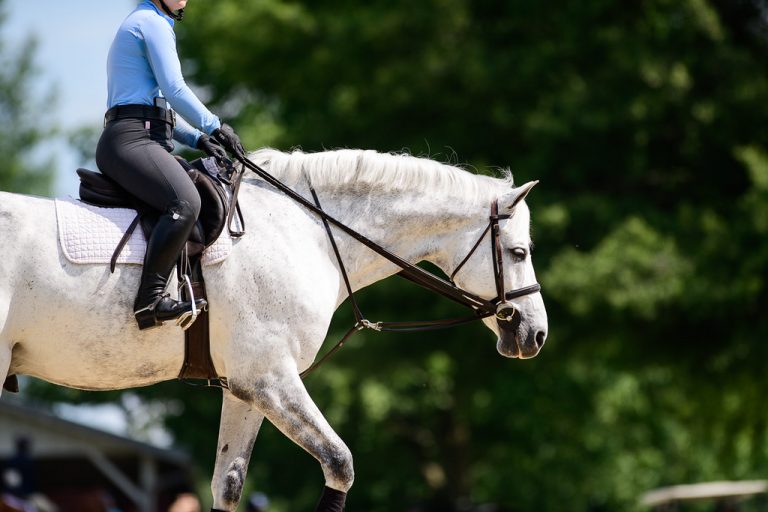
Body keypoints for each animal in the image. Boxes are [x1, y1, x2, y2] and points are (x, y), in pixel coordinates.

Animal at [0, 148, 548, 511]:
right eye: (519, 252)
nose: (536, 334)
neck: (310, 232)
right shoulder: (270, 379)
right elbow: (339, 462)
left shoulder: (244, 388)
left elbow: (228, 485)